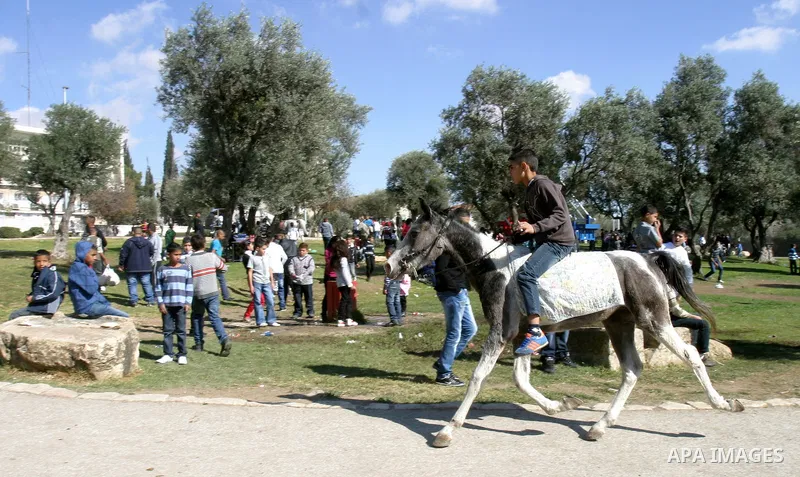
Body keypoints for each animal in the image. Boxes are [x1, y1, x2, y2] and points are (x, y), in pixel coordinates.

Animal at [384, 200, 744, 448]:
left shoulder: (501, 332)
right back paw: (599, 425)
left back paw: (724, 403)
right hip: (620, 325)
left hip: (654, 320)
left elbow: (478, 377)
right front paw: (560, 404)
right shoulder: (522, 335)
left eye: (414, 232)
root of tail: (647, 258)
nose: (389, 265)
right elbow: (521, 380)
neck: (495, 269)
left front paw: (446, 430)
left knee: (690, 355)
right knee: (632, 369)